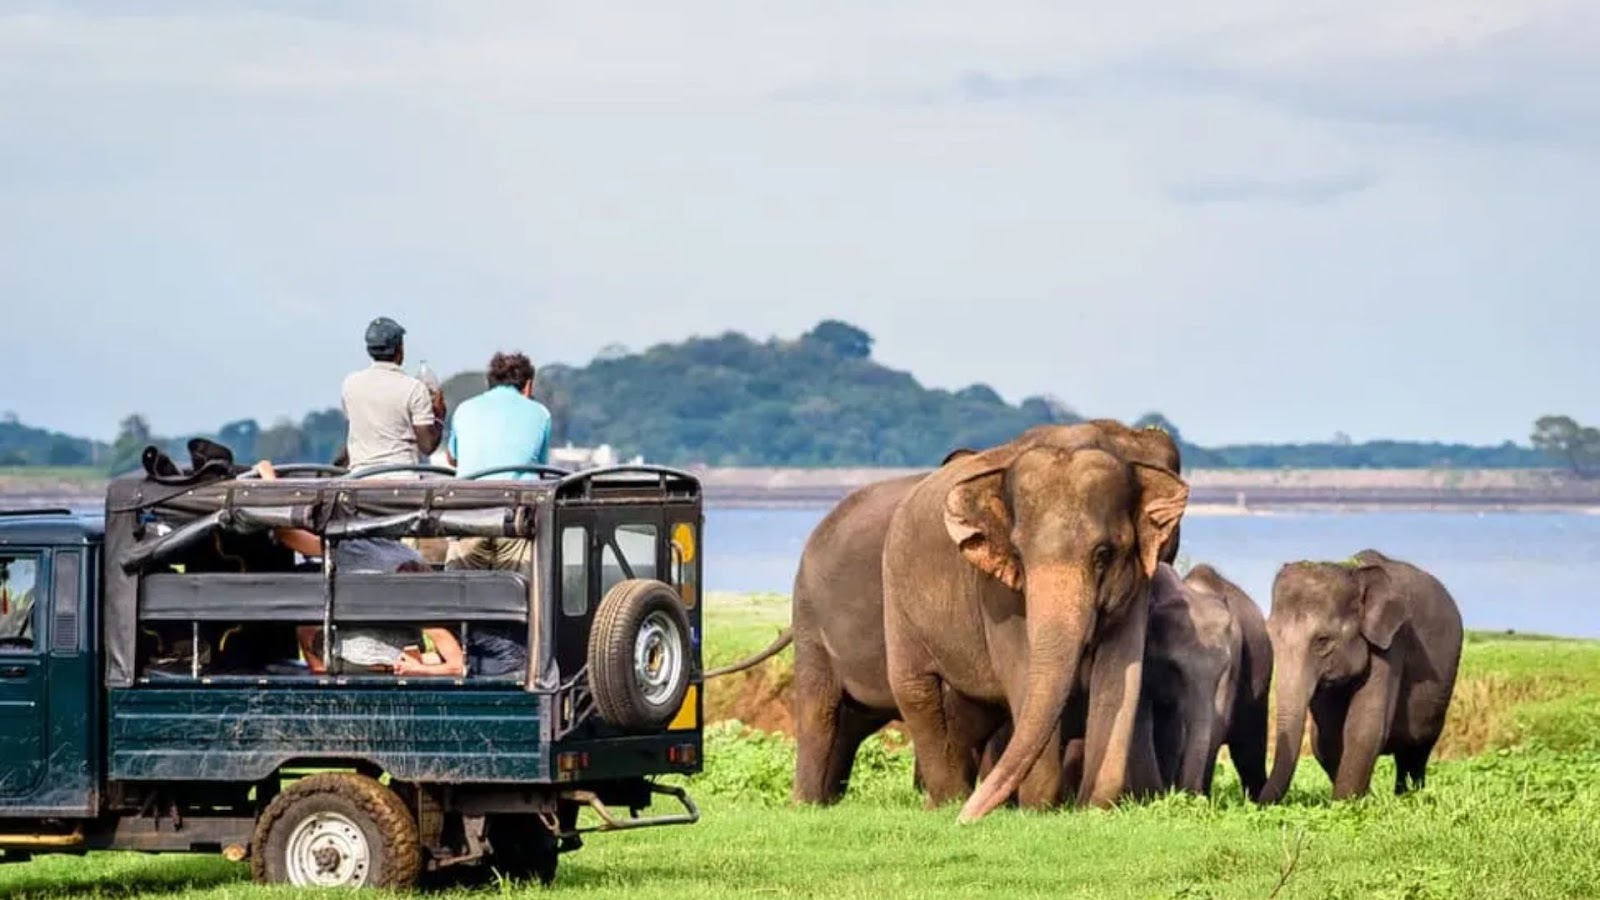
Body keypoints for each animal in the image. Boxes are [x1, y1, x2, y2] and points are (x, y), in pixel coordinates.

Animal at [889, 425, 1190, 819]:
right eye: (1018, 554)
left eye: (1103, 554)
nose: (966, 821)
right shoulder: (997, 591)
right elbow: (1021, 668)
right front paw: (1038, 808)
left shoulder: (1137, 581)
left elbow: (1120, 671)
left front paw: (1092, 808)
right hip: (896, 598)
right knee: (915, 689)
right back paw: (947, 802)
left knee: (968, 712)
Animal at [1152, 560, 1273, 797]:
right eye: (1173, 666)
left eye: (1224, 669)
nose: (1185, 794)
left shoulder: (1235, 655)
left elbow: (1218, 722)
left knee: (1249, 753)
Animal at [1260, 547, 1465, 797]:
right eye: (1270, 636)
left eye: (1322, 640)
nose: (1255, 801)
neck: (1353, 572)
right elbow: (1326, 738)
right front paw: (1363, 797)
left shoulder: (1392, 642)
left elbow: (1364, 725)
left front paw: (1345, 802)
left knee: (1416, 751)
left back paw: (1410, 795)